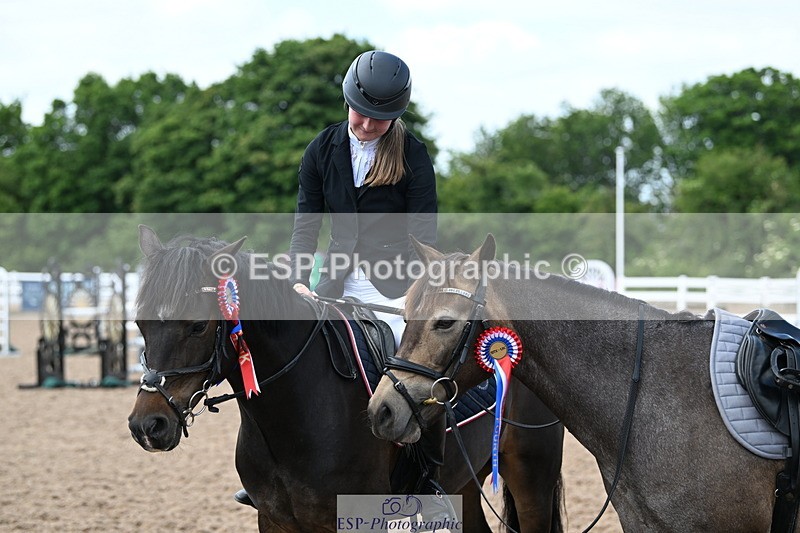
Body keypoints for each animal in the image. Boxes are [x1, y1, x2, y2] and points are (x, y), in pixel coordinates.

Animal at [127, 226, 565, 532]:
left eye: (198, 326)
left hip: (532, 474)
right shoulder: (275, 521)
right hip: (466, 484)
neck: (296, 415)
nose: (148, 425)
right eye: (140, 323)